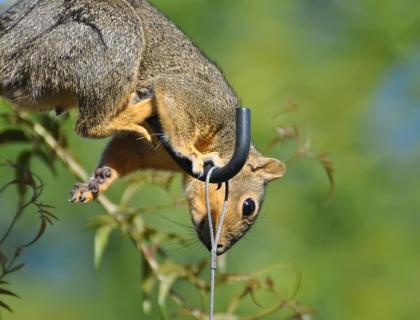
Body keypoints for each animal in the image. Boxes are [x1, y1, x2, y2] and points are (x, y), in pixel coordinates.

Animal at [0, 0, 286, 255]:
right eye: (248, 207)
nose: (220, 248)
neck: (226, 139)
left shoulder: (151, 150)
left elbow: (123, 153)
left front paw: (100, 180)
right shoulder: (195, 97)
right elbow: (173, 101)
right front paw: (191, 152)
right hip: (108, 36)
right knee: (88, 125)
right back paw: (136, 108)